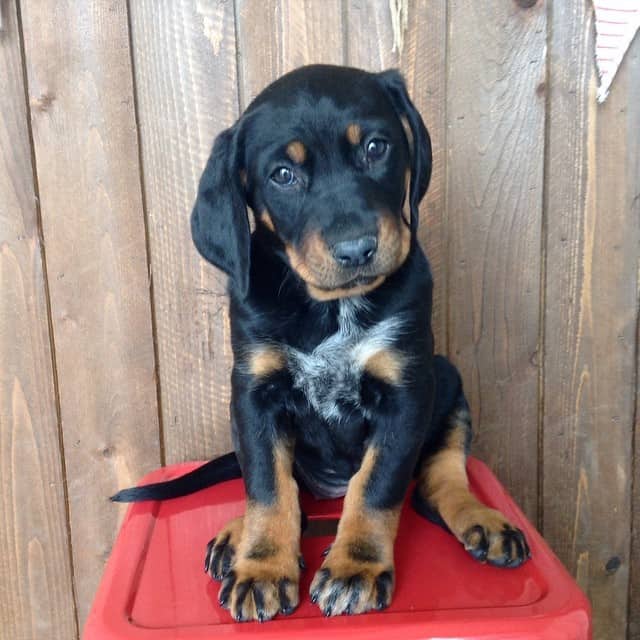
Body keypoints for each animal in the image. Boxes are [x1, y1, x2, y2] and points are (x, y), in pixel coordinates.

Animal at [114, 67, 528, 624]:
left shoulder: (407, 391)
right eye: (283, 175)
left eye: (376, 147)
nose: (356, 249)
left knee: (438, 477)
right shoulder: (254, 395)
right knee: (283, 489)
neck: (330, 308)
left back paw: (481, 520)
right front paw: (263, 568)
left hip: (447, 378)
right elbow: (268, 488)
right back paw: (235, 537)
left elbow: (375, 488)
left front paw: (356, 568)